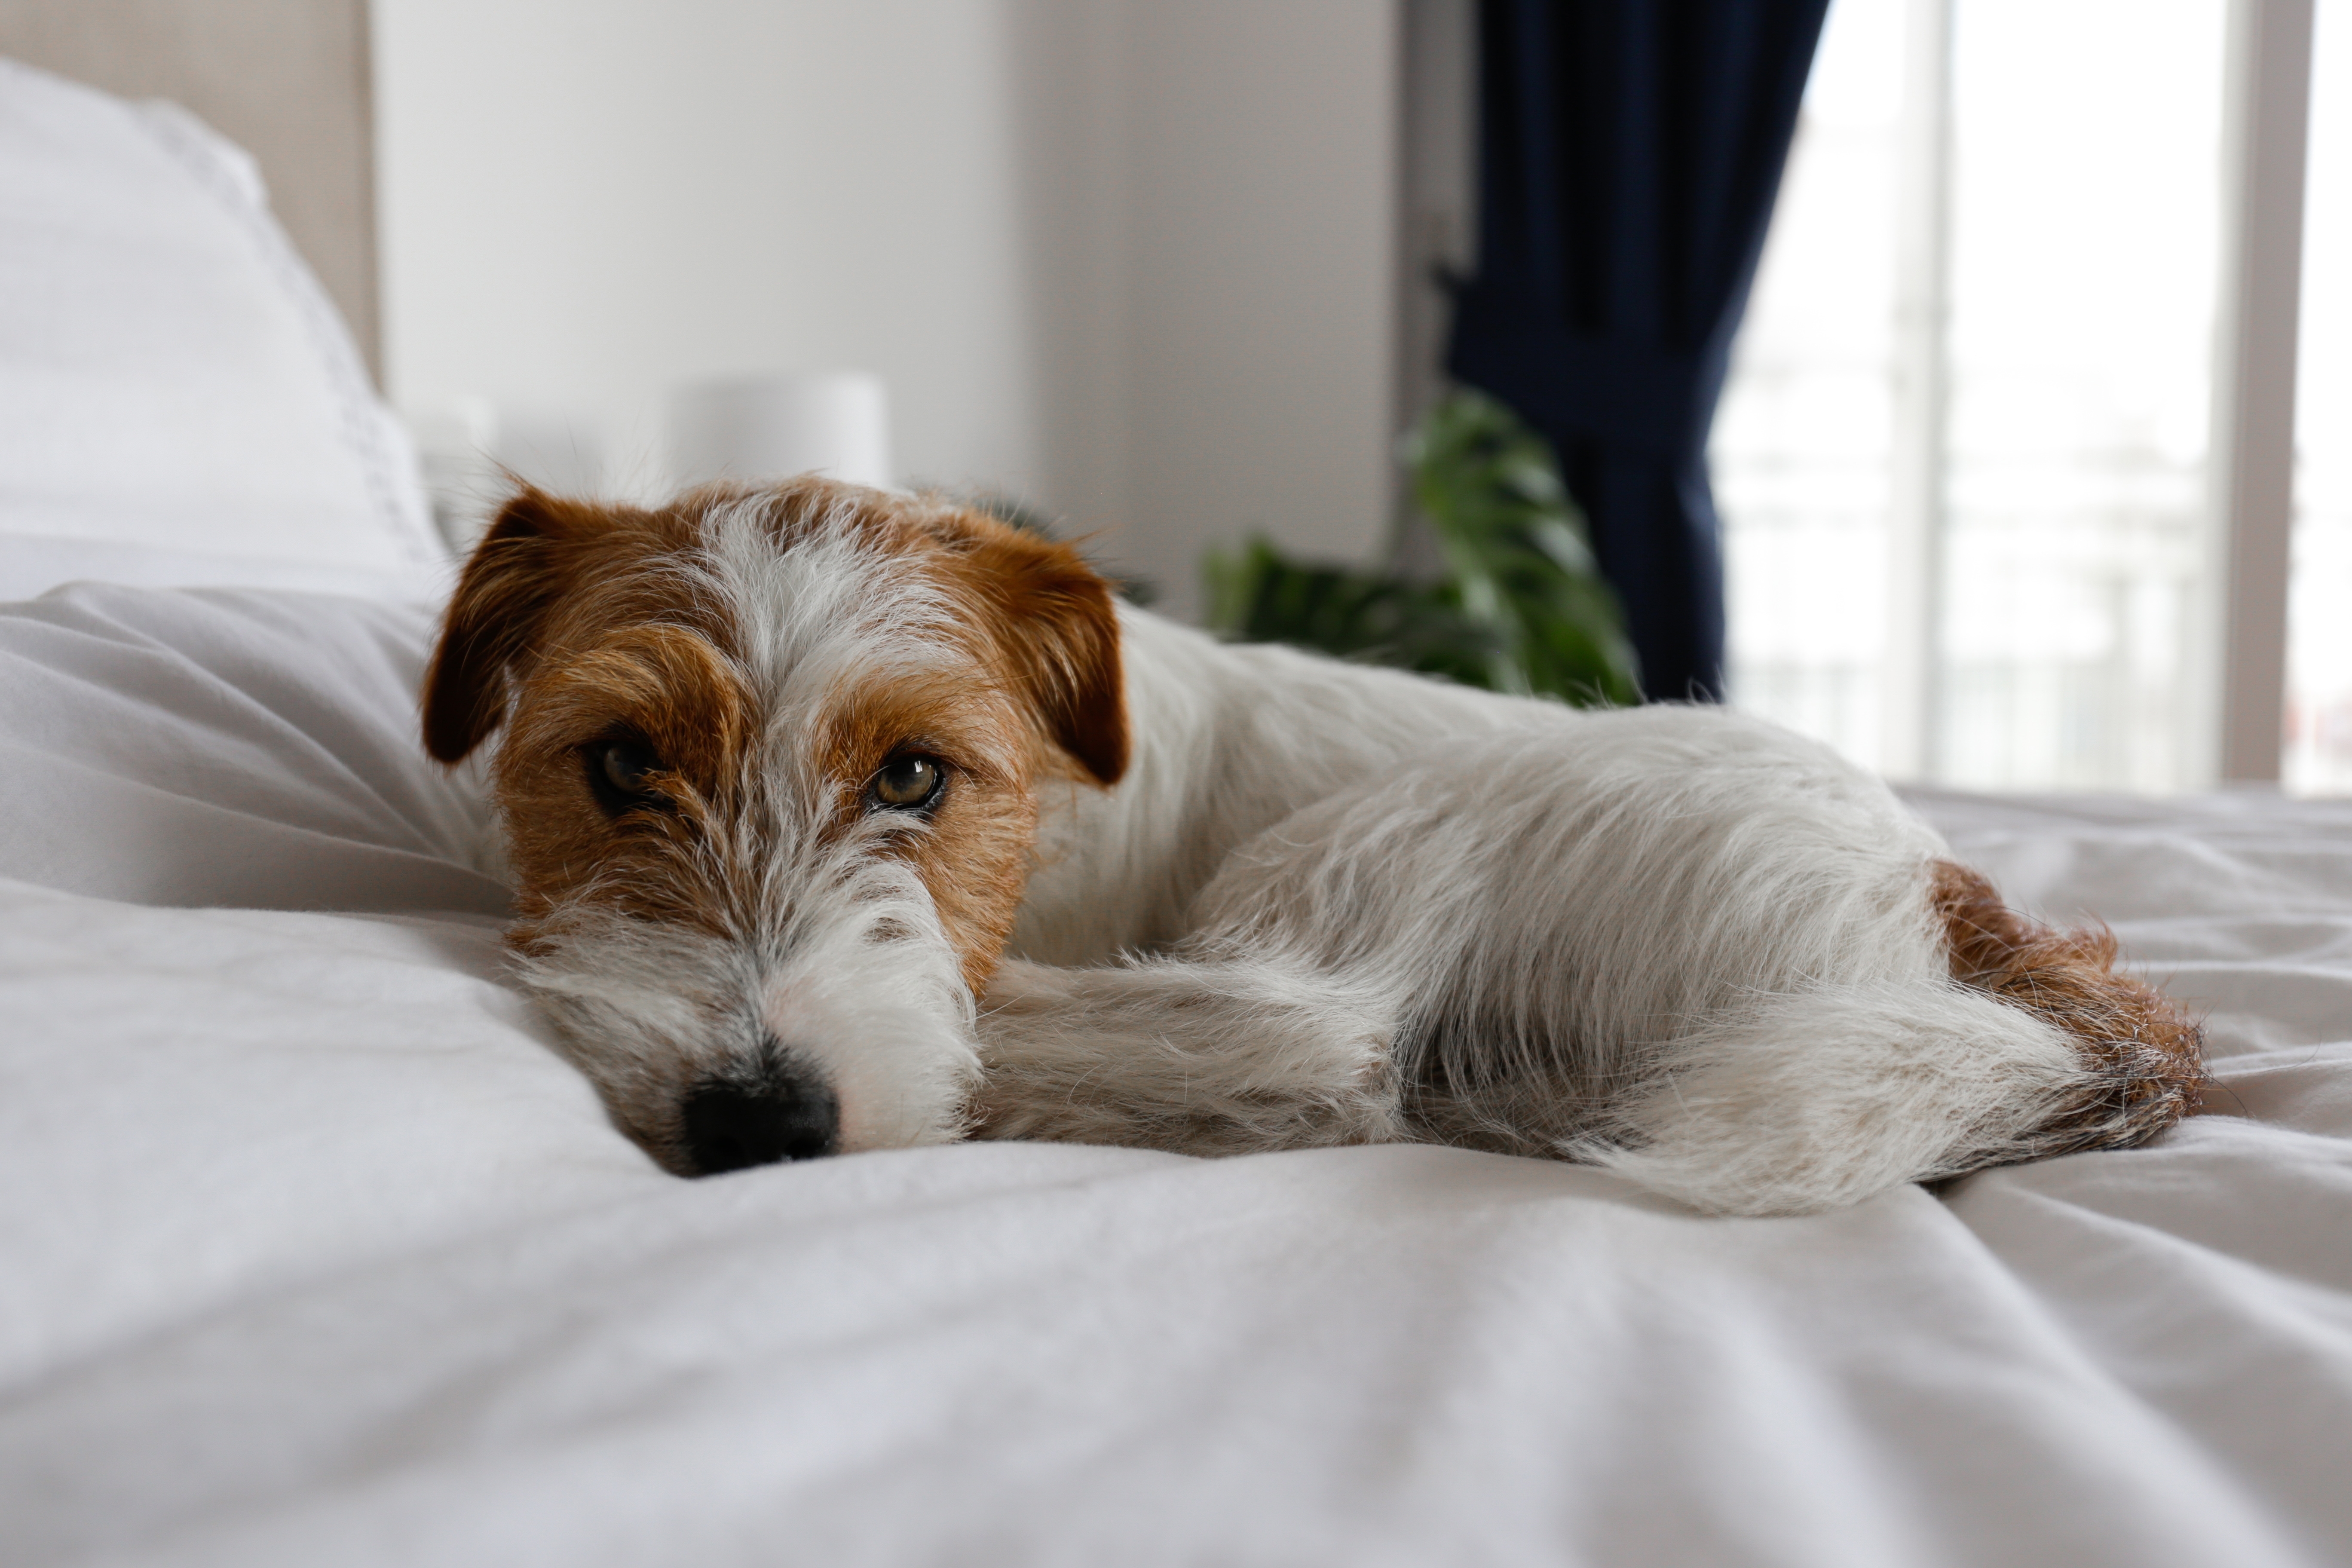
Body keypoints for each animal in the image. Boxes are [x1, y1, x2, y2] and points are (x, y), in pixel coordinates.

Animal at [423, 475, 2201, 1213]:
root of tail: (1947, 908)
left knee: (1310, 1053)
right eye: (623, 761)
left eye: (915, 776)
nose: (759, 1115)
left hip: (1392, 833)